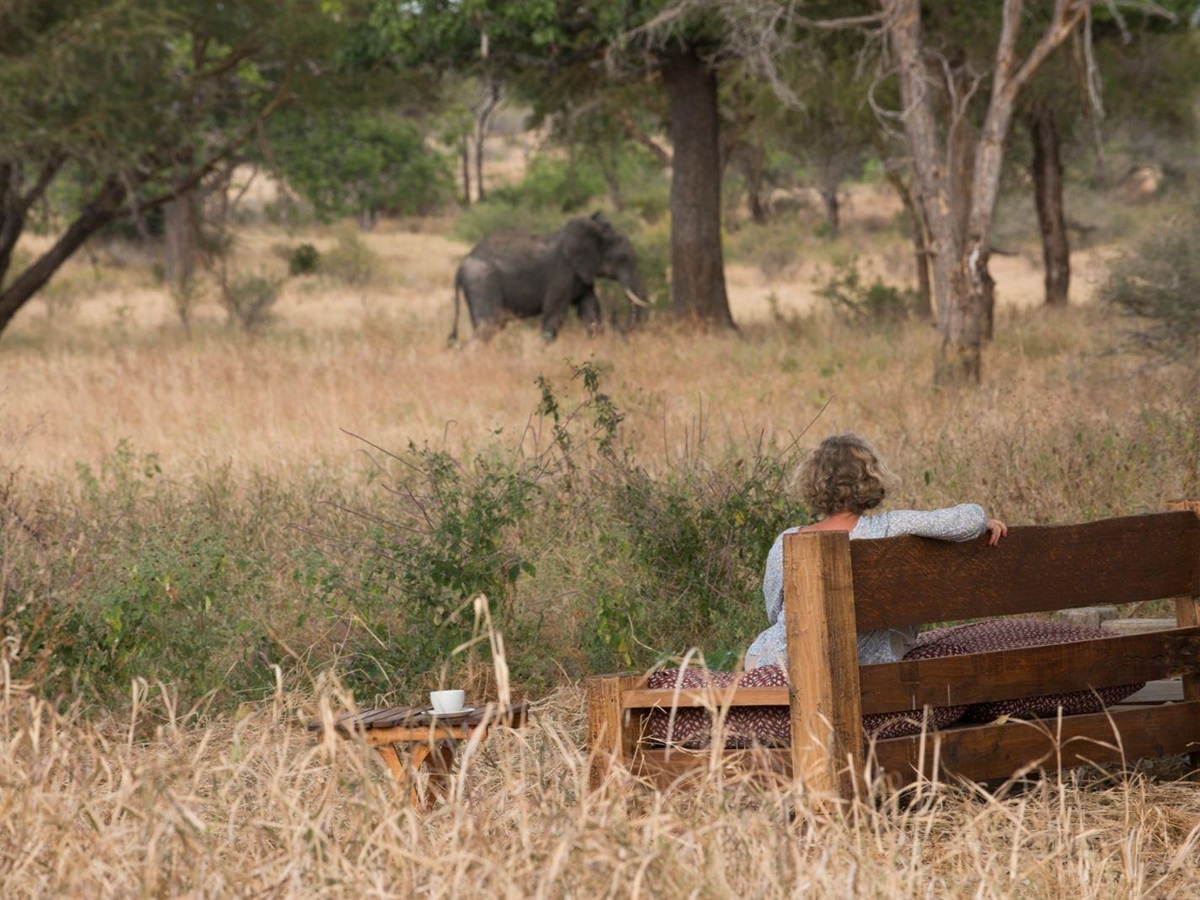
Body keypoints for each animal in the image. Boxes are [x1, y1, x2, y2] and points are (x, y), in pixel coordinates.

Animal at [450, 212, 648, 343]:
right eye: (624, 258)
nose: (615, 315)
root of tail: (461, 266)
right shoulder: (561, 272)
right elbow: (555, 314)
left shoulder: (581, 274)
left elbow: (589, 309)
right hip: (482, 282)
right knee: (489, 326)